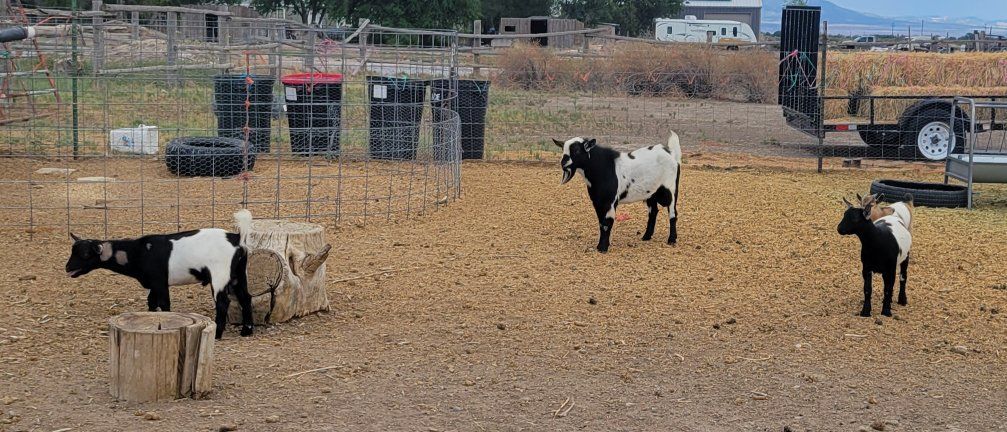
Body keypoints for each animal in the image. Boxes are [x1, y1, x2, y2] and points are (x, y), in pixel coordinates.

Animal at [65, 210, 255, 339]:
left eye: (85, 254)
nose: (67, 268)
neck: (139, 252)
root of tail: (236, 238)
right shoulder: (154, 283)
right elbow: (151, 301)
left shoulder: (160, 282)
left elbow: (164, 304)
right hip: (238, 274)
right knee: (246, 298)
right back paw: (246, 331)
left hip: (220, 275)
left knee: (223, 302)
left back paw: (218, 334)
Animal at [554, 132, 682, 253]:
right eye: (563, 149)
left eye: (576, 150)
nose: (563, 163)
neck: (602, 167)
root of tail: (671, 154)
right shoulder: (598, 202)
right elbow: (601, 223)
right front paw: (602, 245)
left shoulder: (609, 201)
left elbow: (607, 223)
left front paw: (603, 248)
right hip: (651, 193)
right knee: (653, 212)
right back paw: (646, 237)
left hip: (670, 189)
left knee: (673, 213)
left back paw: (671, 239)